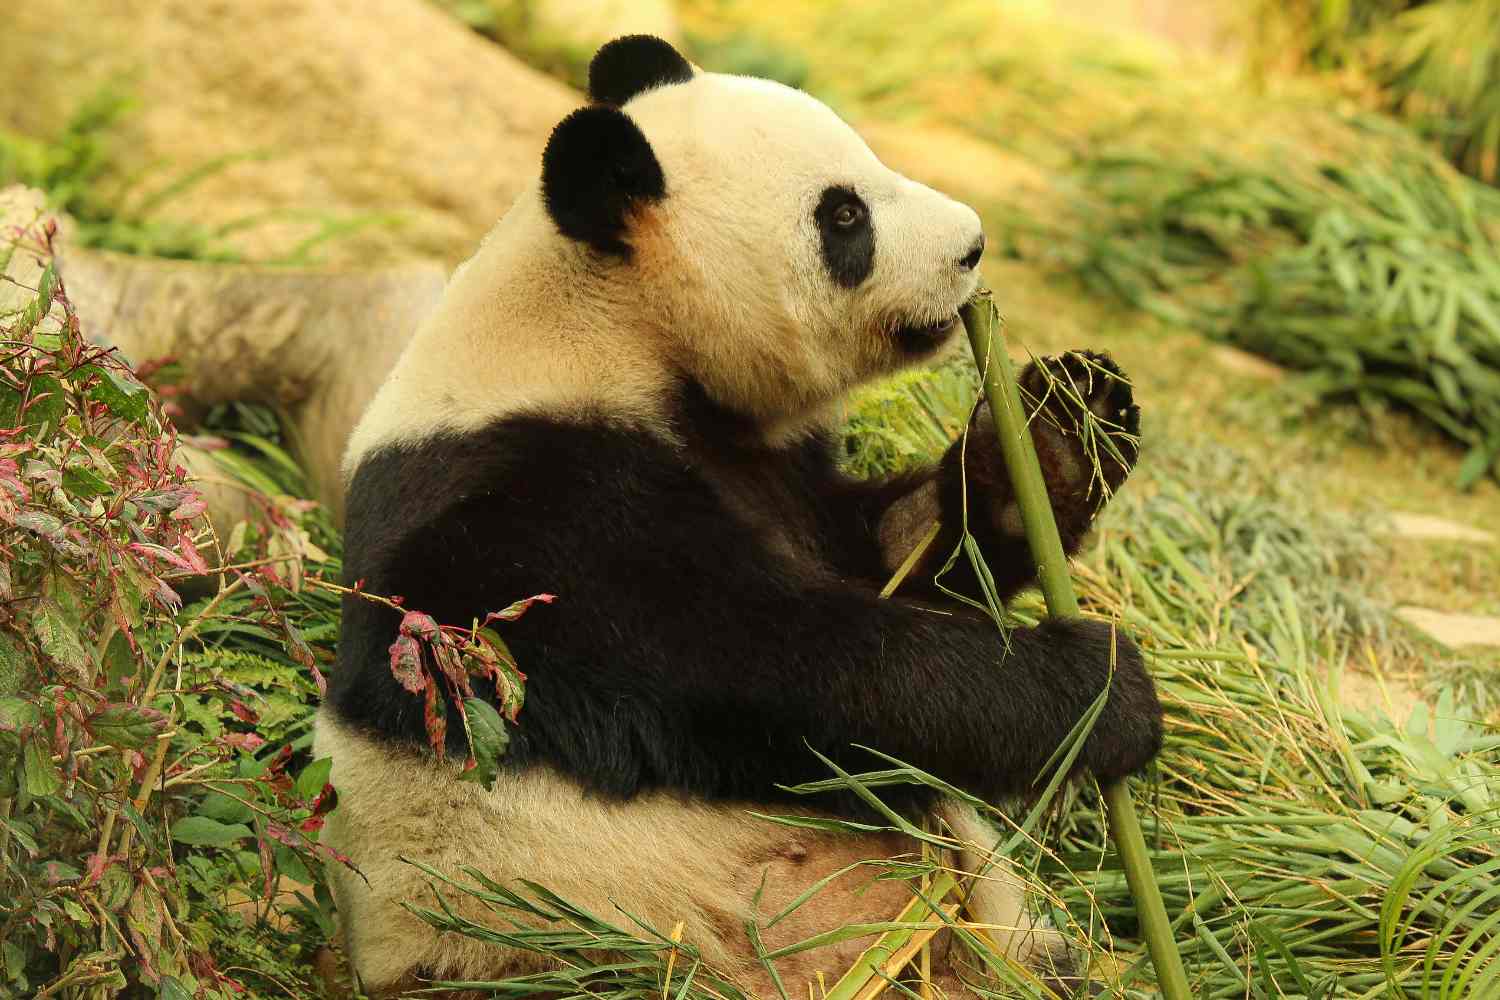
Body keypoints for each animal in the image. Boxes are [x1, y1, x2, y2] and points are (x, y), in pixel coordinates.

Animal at [315, 34, 1162, 998]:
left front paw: (1062, 431)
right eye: (844, 217)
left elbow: (898, 555)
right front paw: (1102, 691)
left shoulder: (769, 465)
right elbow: (778, 671)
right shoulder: (533, 510)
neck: (609, 327)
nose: (974, 244)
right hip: (553, 940)